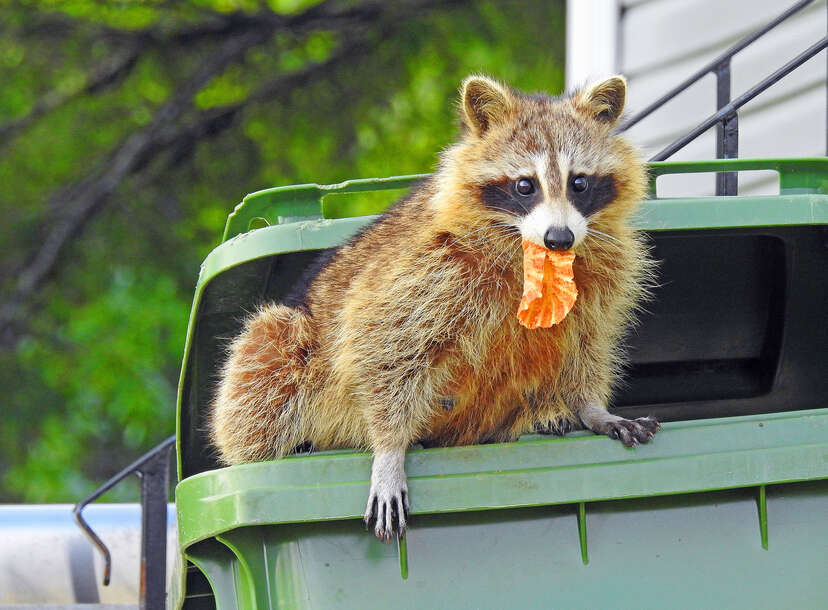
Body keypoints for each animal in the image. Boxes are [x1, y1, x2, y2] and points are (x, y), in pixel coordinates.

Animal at [212, 75, 660, 536]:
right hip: (287, 346)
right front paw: (388, 448)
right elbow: (379, 341)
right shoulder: (427, 265)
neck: (534, 254)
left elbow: (587, 341)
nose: (560, 238)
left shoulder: (602, 274)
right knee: (268, 352)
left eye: (579, 183)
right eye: (525, 185)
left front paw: (591, 407)